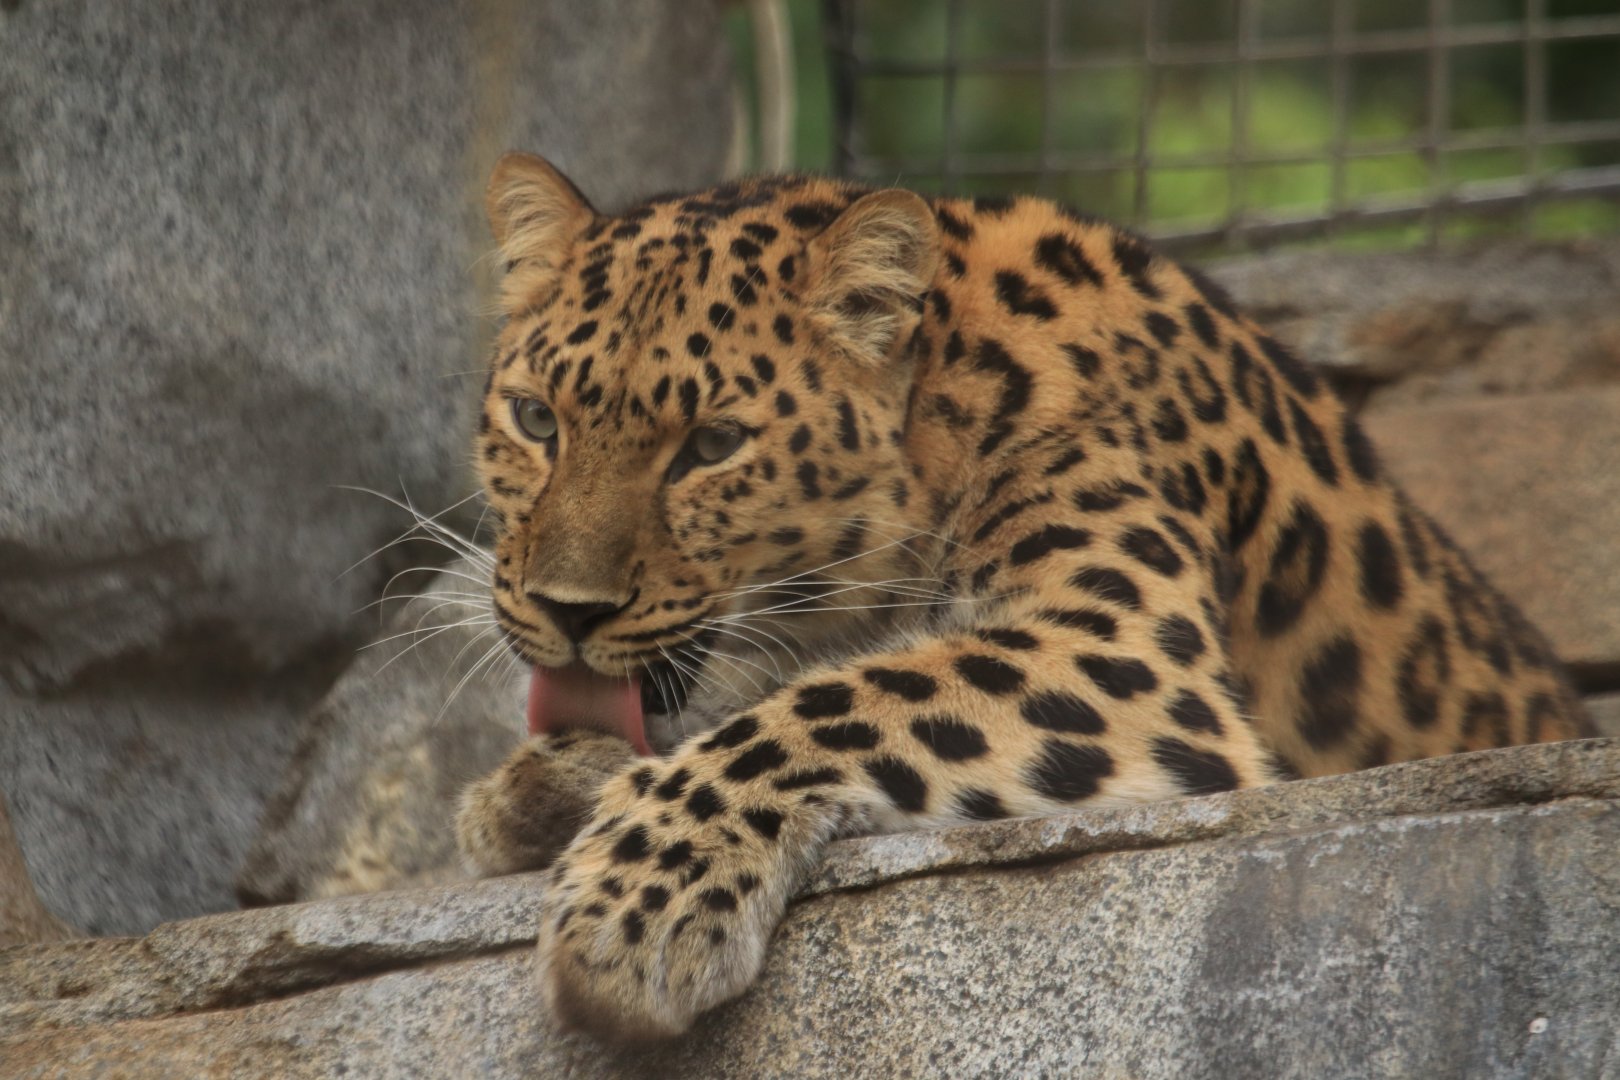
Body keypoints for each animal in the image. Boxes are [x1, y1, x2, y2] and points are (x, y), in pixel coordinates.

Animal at [455, 151, 1593, 1042]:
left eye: (713, 445)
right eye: (536, 420)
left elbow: (842, 699)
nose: (568, 610)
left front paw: (637, 902)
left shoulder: (1116, 642)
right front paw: (539, 788)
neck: (950, 394)